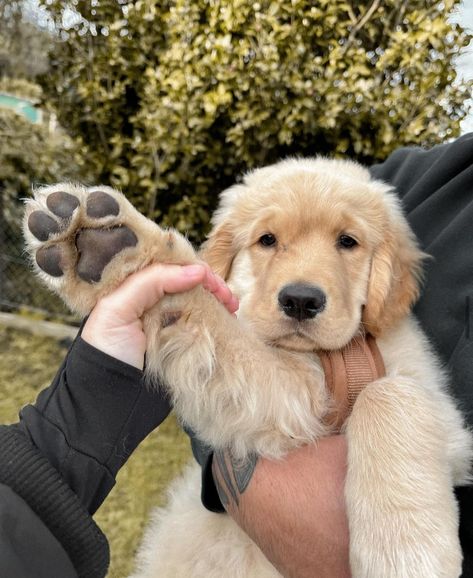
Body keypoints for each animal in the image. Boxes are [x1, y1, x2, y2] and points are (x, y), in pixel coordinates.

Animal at [24, 159, 472, 576]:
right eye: (267, 240)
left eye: (348, 241)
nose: (301, 301)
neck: (323, 356)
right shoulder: (290, 394)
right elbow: (206, 313)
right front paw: (125, 253)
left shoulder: (434, 402)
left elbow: (390, 391)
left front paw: (406, 551)